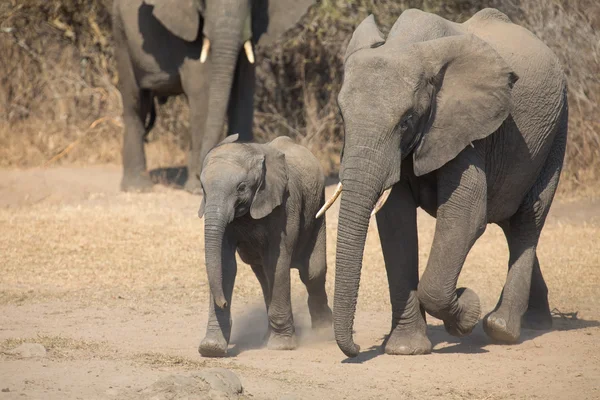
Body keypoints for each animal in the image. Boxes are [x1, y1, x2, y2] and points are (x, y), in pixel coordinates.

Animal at [113, 0, 318, 194]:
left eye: (254, 1)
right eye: (203, 1)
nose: (202, 173)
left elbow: (243, 89)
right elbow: (202, 90)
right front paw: (196, 188)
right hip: (121, 35)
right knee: (134, 103)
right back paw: (137, 188)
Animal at [199, 134, 336, 356]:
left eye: (241, 188)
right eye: (203, 189)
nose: (224, 302)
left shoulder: (286, 204)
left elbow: (278, 261)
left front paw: (282, 346)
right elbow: (225, 265)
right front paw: (211, 348)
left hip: (318, 207)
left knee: (312, 273)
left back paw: (324, 333)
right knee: (263, 276)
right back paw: (266, 338)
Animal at [318, 7, 568, 358]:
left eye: (406, 120)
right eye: (342, 117)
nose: (356, 347)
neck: (408, 45)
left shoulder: (465, 128)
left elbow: (465, 216)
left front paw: (467, 309)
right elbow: (395, 222)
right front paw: (406, 349)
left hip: (556, 131)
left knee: (527, 219)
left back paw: (502, 328)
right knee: (511, 221)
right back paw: (536, 322)